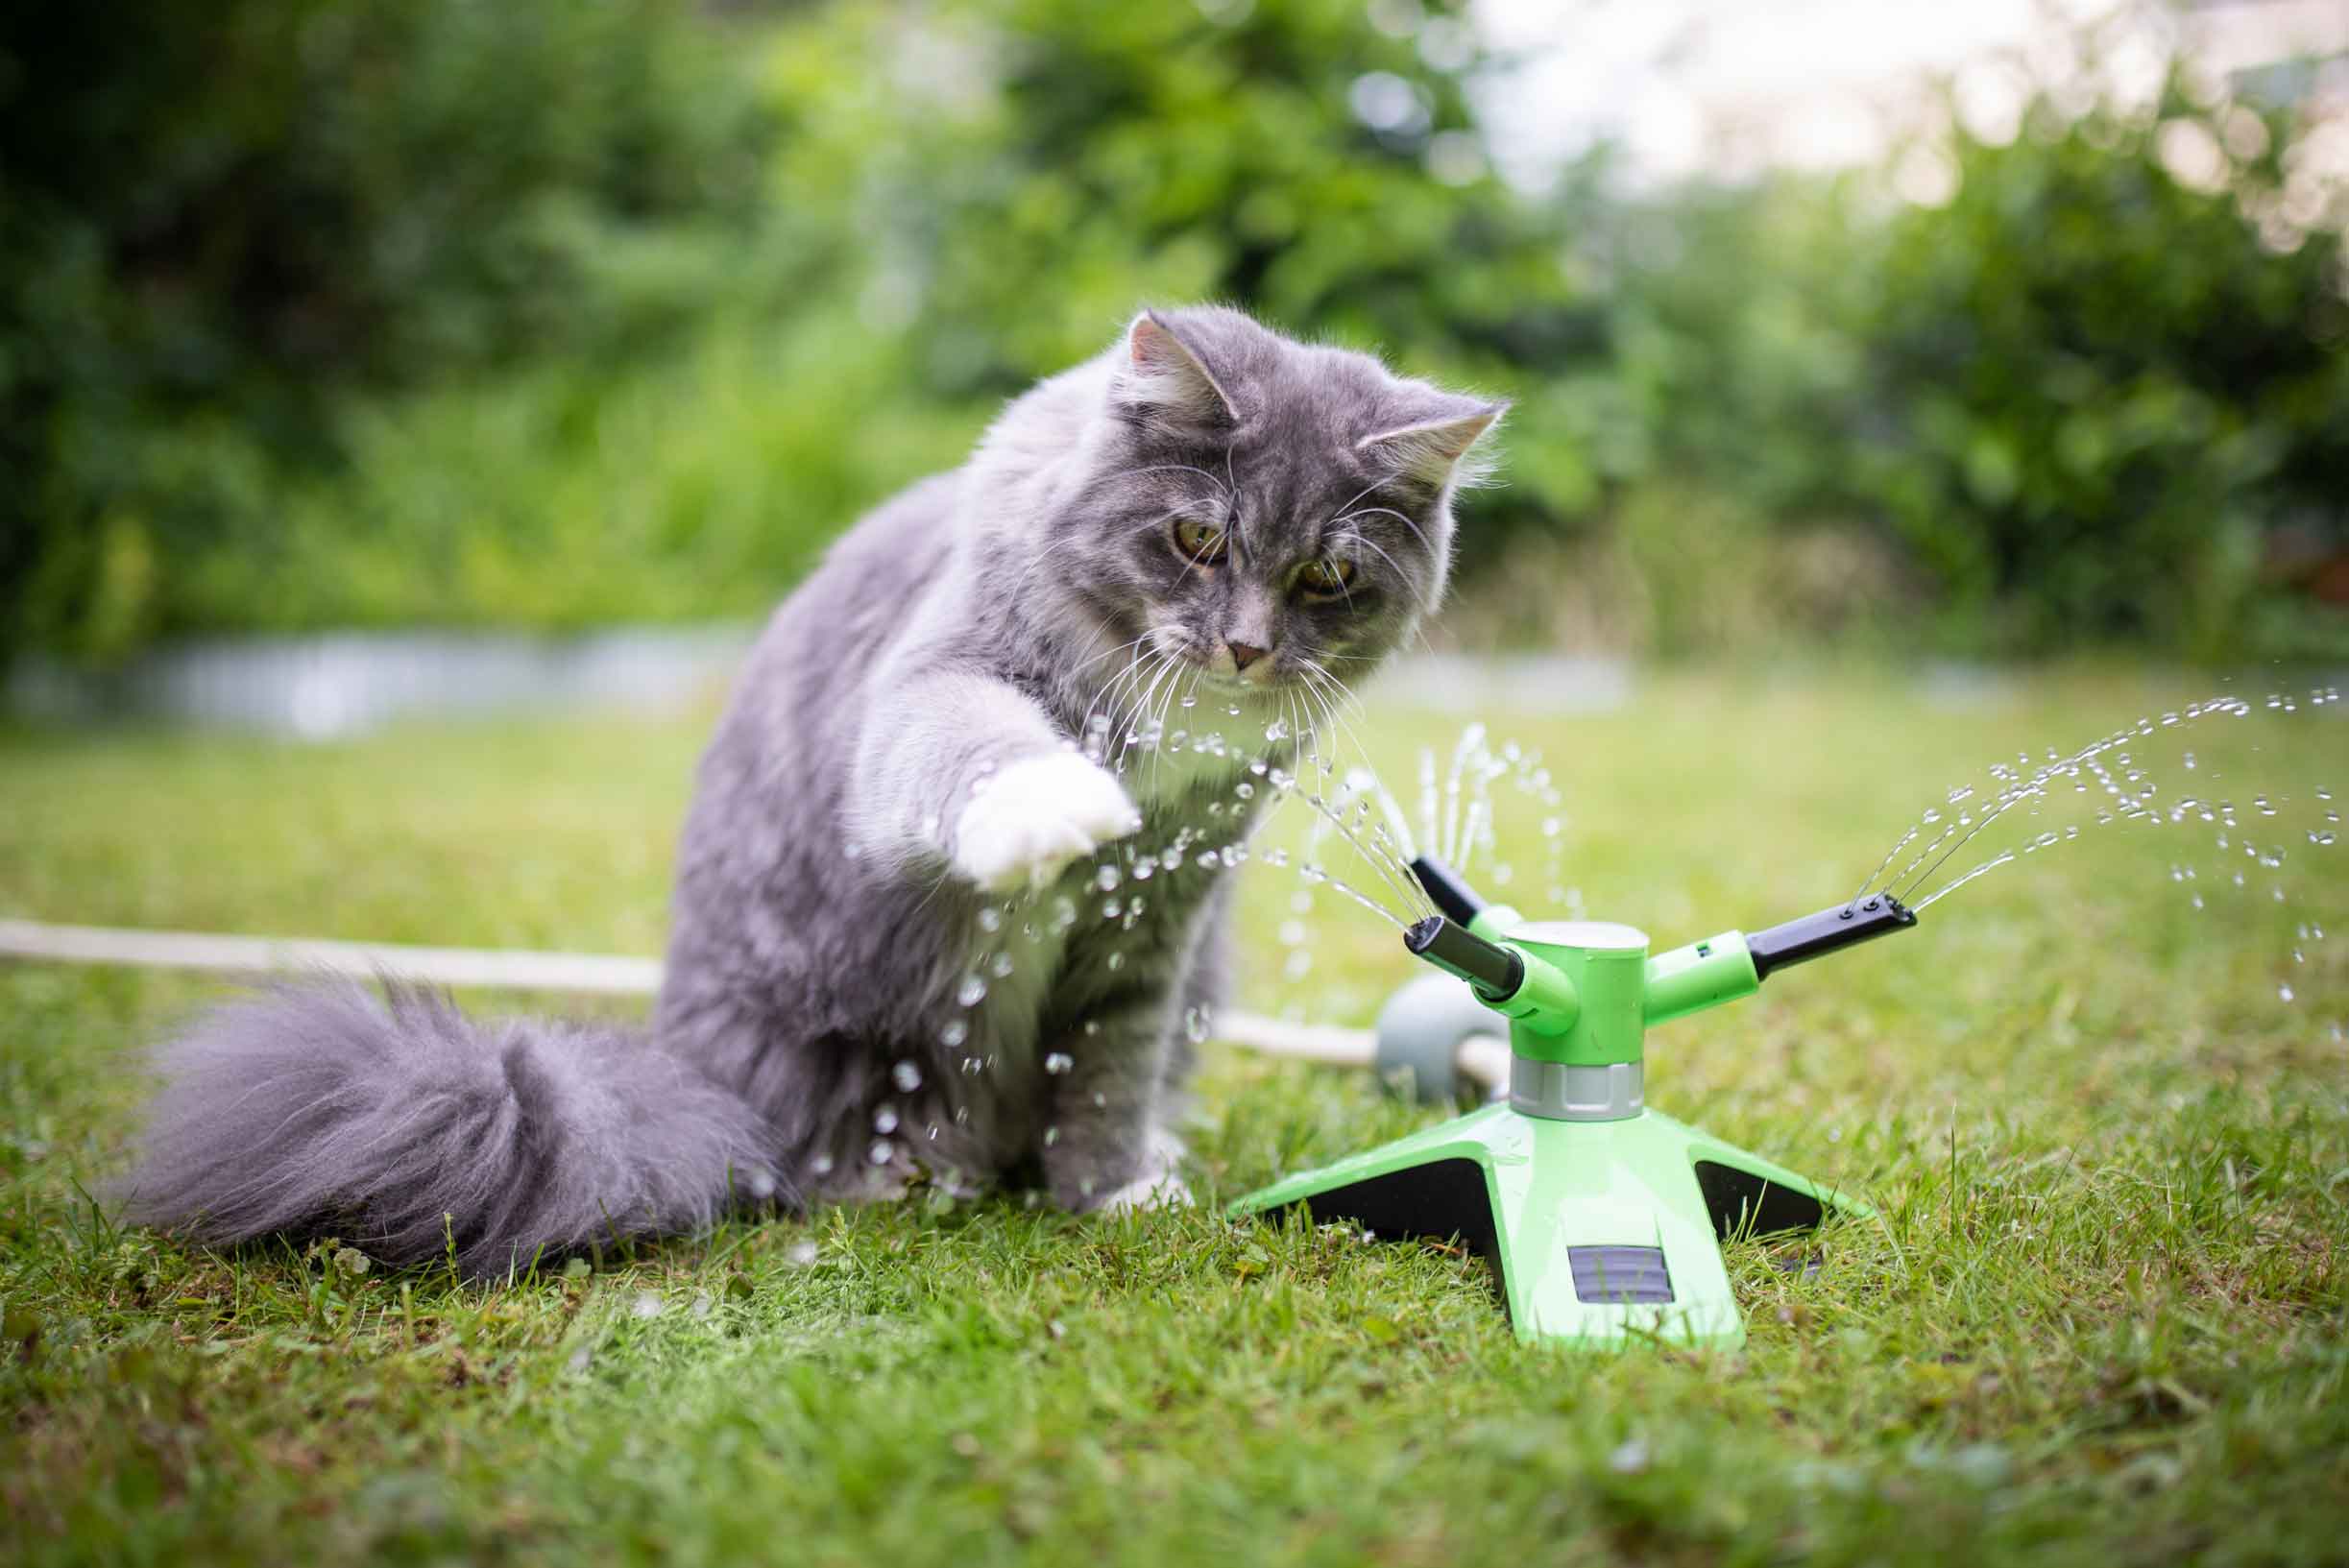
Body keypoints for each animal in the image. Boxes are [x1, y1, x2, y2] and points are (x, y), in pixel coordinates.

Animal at [119, 304, 1503, 1276]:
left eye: (1327, 576)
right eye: (1199, 539)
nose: (1246, 649)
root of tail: (686, 1081)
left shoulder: (1159, 918)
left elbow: (1106, 1067)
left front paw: (1112, 1188)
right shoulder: (934, 685)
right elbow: (979, 746)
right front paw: (1056, 806)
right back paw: (911, 1179)